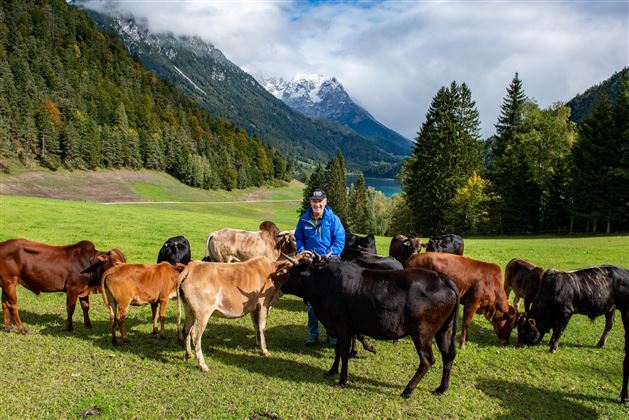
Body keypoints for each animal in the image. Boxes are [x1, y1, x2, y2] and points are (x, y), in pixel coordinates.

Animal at [280, 256, 456, 398]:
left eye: (292, 272)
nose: (281, 287)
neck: (326, 284)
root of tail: (441, 278)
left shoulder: (343, 326)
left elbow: (343, 353)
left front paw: (342, 380)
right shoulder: (340, 327)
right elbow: (338, 351)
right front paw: (332, 371)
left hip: (422, 333)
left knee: (427, 361)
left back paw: (408, 390)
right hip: (442, 331)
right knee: (447, 356)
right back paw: (441, 388)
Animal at [516, 266, 628, 404]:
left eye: (524, 331)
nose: (519, 345)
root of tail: (625, 271)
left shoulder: (566, 313)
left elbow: (559, 331)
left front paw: (553, 347)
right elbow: (555, 331)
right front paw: (551, 341)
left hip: (625, 310)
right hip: (610, 308)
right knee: (609, 324)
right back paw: (600, 343)